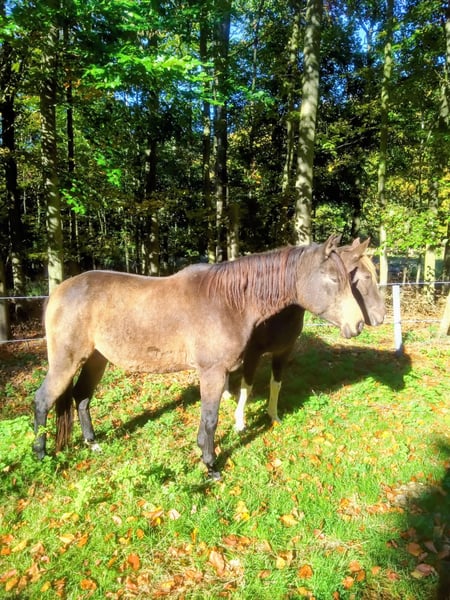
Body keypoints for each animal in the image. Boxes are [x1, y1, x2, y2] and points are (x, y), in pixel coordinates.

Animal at [33, 235, 365, 479]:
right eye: (333, 279)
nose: (358, 324)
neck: (228, 301)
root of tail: (58, 291)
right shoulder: (212, 372)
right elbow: (210, 419)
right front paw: (210, 465)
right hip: (66, 362)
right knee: (43, 399)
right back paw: (40, 454)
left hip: (96, 359)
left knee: (81, 397)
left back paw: (93, 444)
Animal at [225, 238, 386, 432]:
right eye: (367, 277)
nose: (381, 316)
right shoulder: (252, 353)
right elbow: (247, 386)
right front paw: (239, 422)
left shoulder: (284, 350)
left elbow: (276, 384)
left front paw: (273, 415)